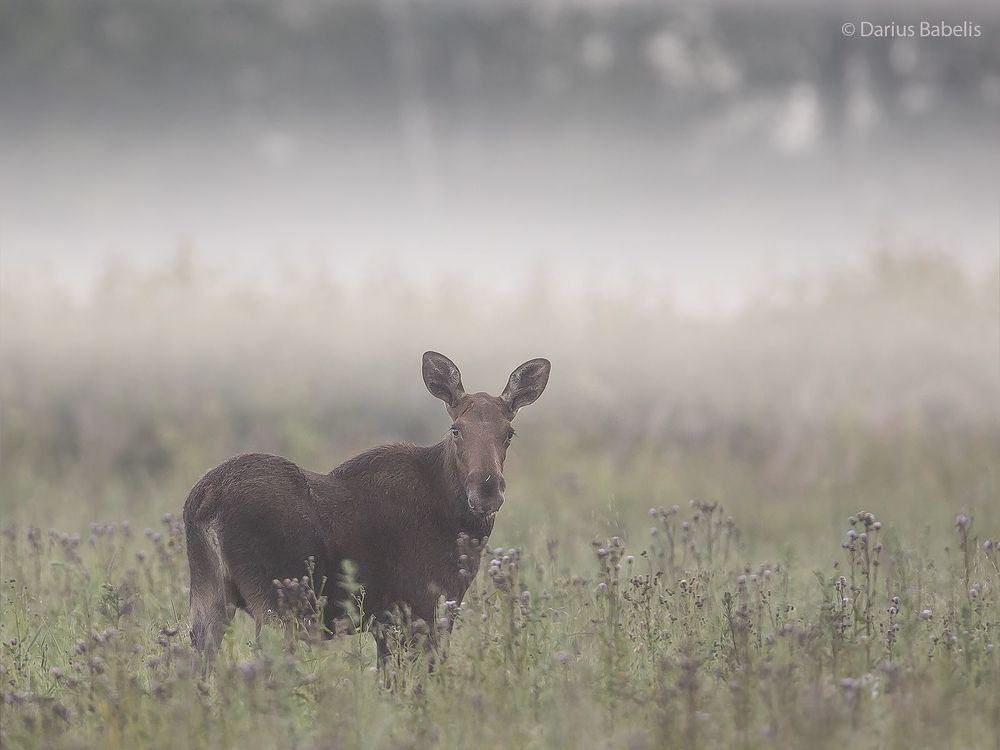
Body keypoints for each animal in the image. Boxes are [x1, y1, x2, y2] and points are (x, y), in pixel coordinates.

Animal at [183, 351, 550, 666]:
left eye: (509, 433)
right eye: (456, 429)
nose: (487, 490)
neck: (458, 523)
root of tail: (204, 503)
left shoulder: (385, 619)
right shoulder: (423, 606)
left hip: (209, 599)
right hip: (277, 604)